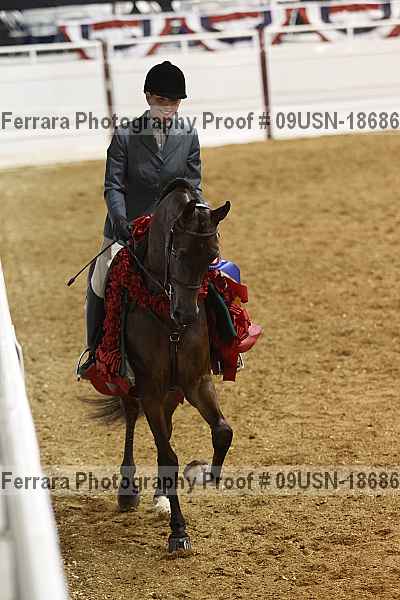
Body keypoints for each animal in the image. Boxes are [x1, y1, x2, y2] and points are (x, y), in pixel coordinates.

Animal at [99, 178, 233, 553]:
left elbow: (222, 431)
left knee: (168, 430)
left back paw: (160, 494)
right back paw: (128, 491)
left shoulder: (196, 380)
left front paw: (208, 475)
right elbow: (168, 455)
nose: (186, 315)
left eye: (212, 256)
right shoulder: (149, 389)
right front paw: (178, 531)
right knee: (134, 421)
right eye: (179, 253)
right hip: (136, 390)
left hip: (172, 392)